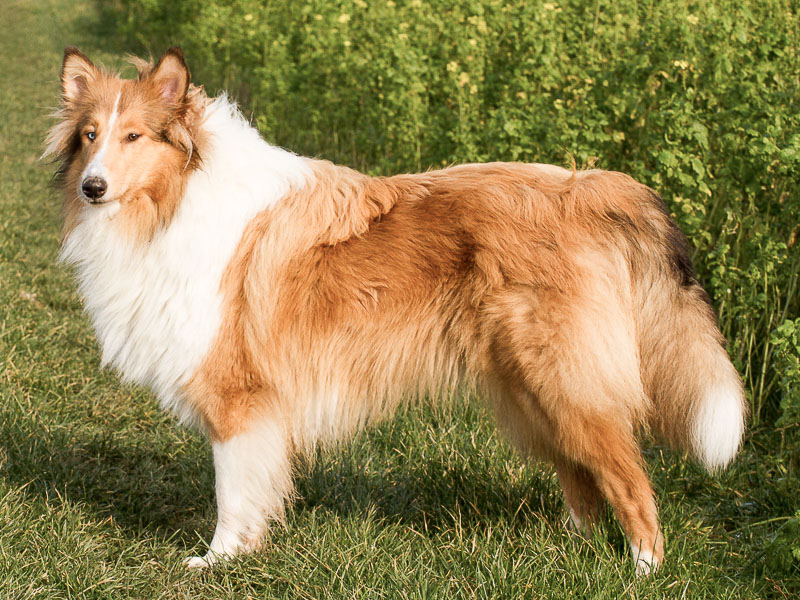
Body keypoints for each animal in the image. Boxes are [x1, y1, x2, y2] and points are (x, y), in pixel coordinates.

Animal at [45, 45, 744, 572]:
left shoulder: (237, 397)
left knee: (628, 477)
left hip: (564, 380)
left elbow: (232, 491)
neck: (176, 199)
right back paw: (569, 553)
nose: (93, 187)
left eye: (134, 136)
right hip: (528, 389)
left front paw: (219, 561)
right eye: (90, 136)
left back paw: (643, 568)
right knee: (581, 477)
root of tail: (593, 188)